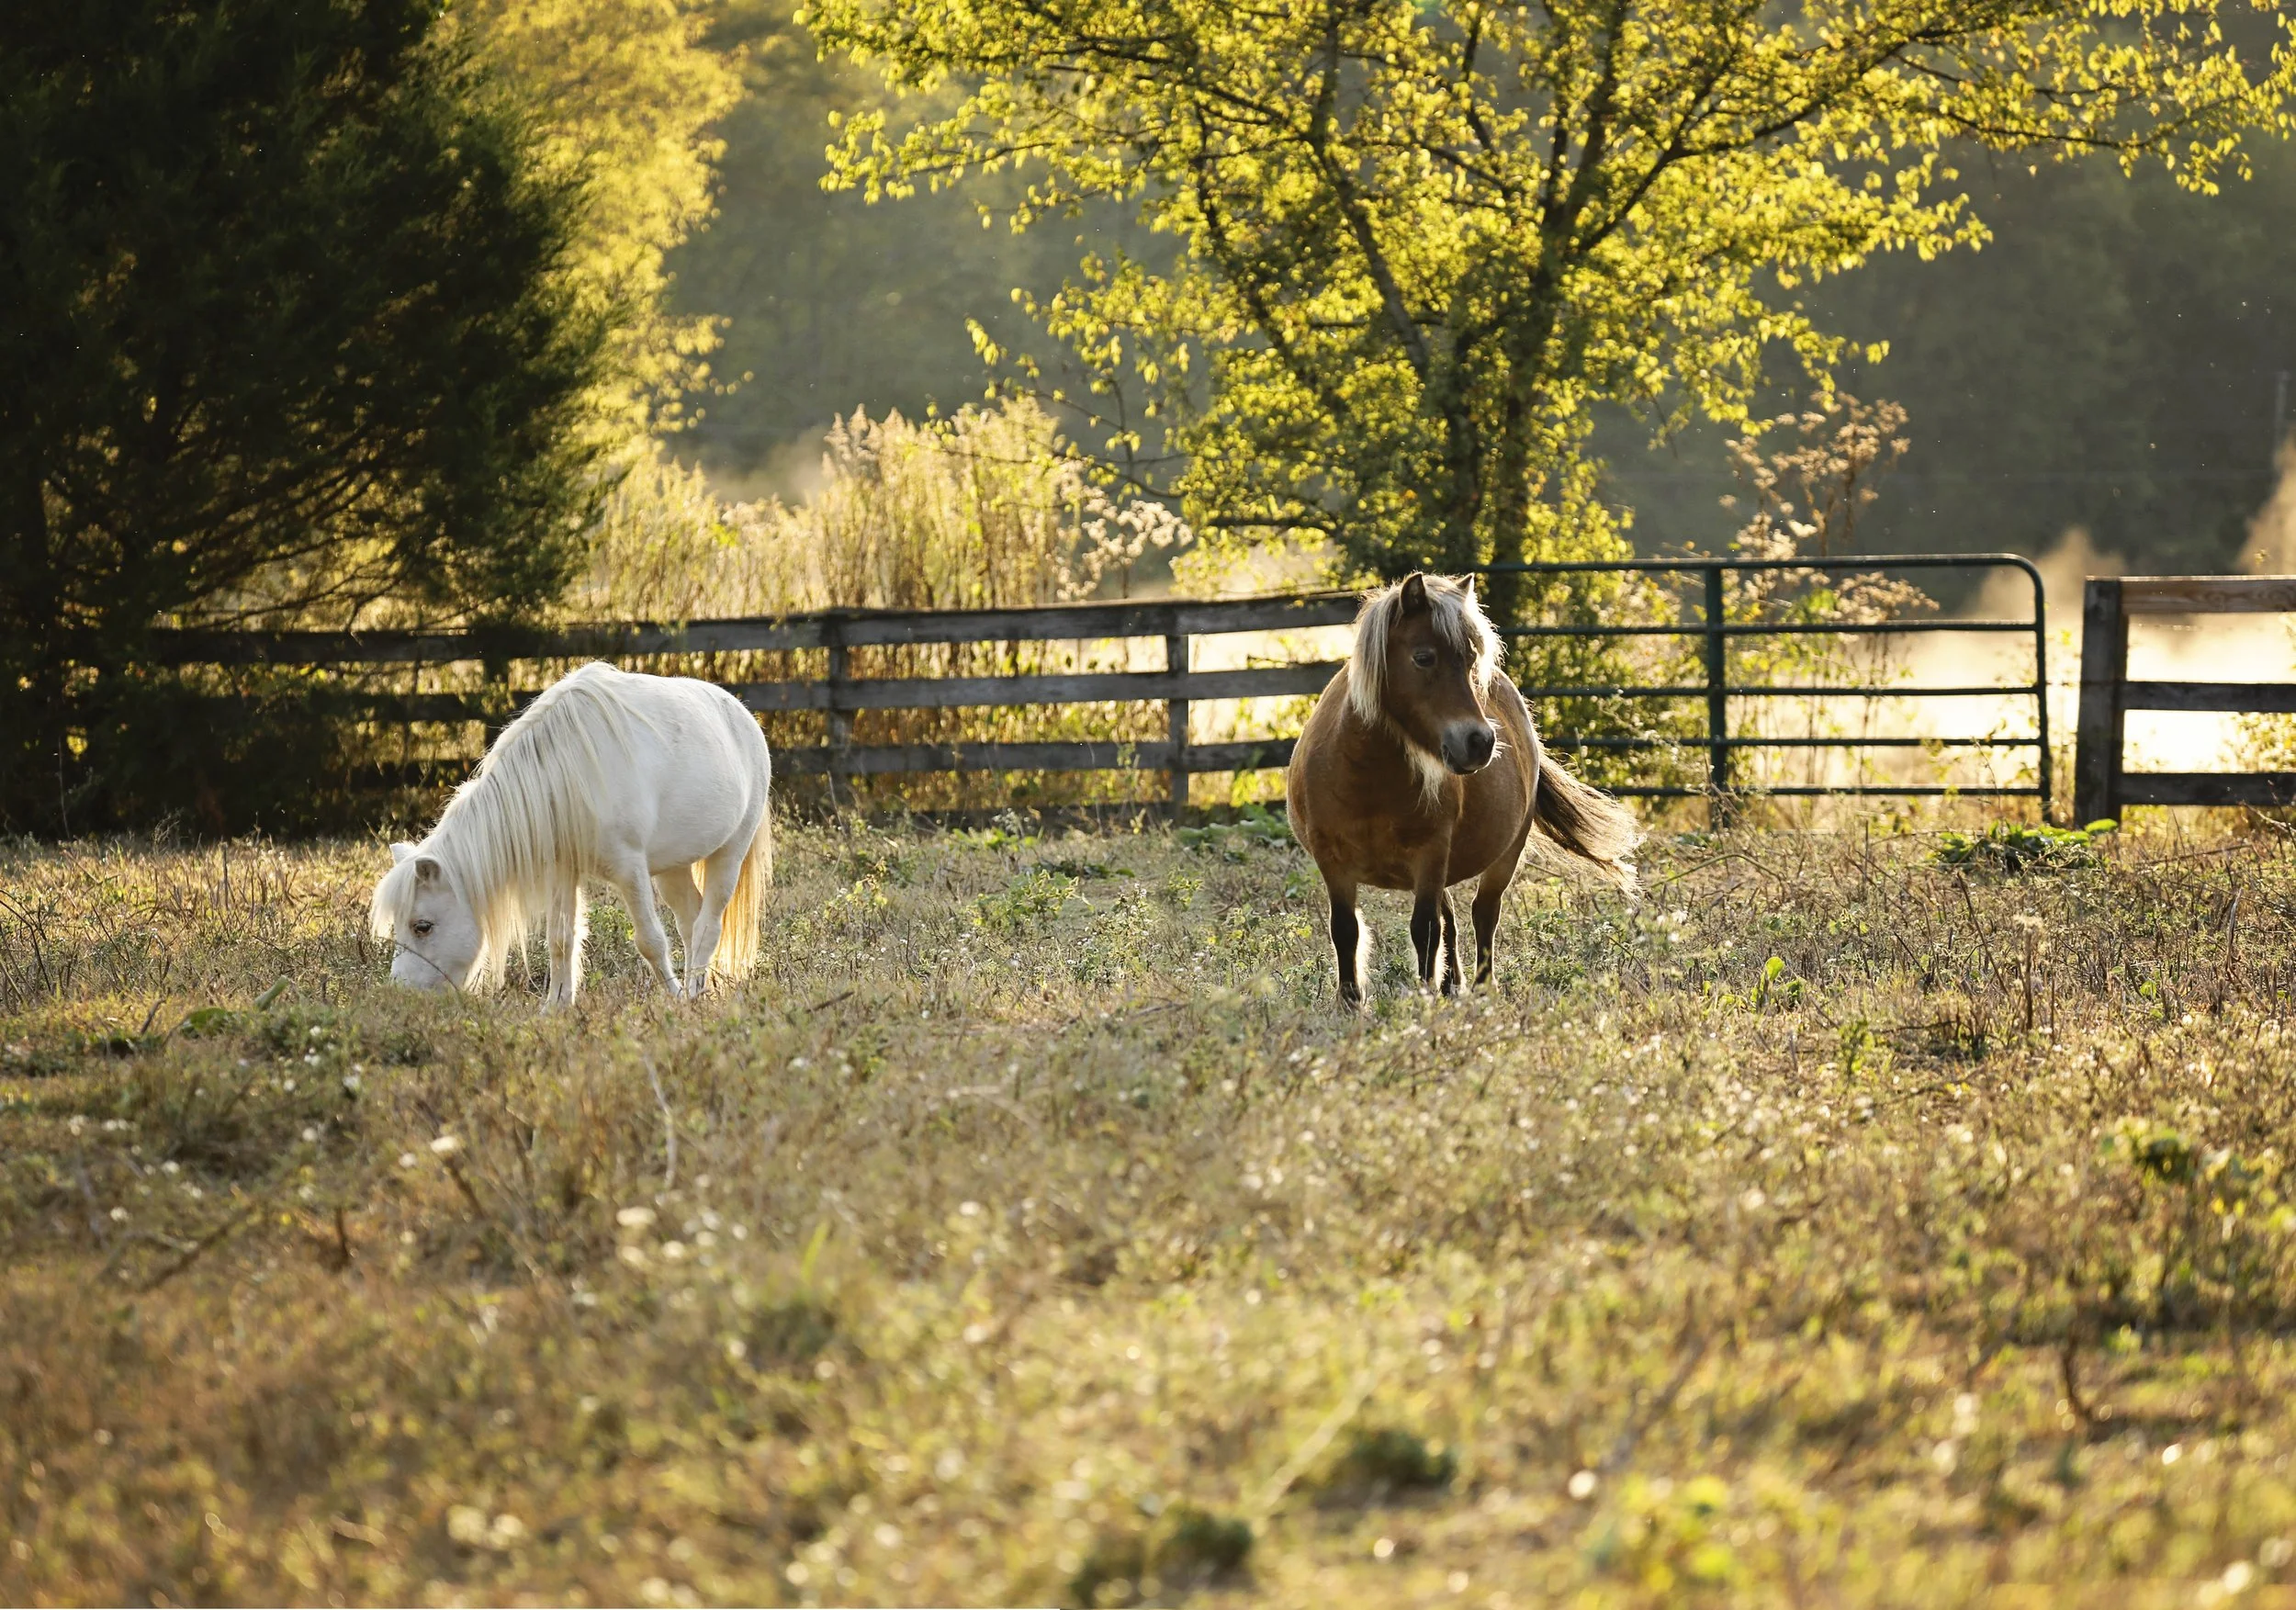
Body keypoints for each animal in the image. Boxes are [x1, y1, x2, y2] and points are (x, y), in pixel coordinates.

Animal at [370, 662, 773, 1004]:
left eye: (422, 927)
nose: (402, 993)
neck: (563, 772)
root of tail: (742, 716)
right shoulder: (562, 870)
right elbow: (560, 940)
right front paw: (557, 1008)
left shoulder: (630, 870)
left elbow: (650, 941)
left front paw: (673, 999)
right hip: (673, 866)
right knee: (690, 920)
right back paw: (698, 990)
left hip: (730, 853)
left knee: (707, 925)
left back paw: (689, 994)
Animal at [1286, 572, 1639, 1008]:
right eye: (1423, 657)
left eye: (1471, 662)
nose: (1480, 742)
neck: (1367, 778)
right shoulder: (1333, 862)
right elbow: (1346, 930)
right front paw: (1351, 1003)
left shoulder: (1430, 856)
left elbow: (1424, 929)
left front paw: (1423, 1000)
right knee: (1451, 918)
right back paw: (1451, 984)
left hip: (1504, 855)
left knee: (1481, 913)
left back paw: (1482, 988)